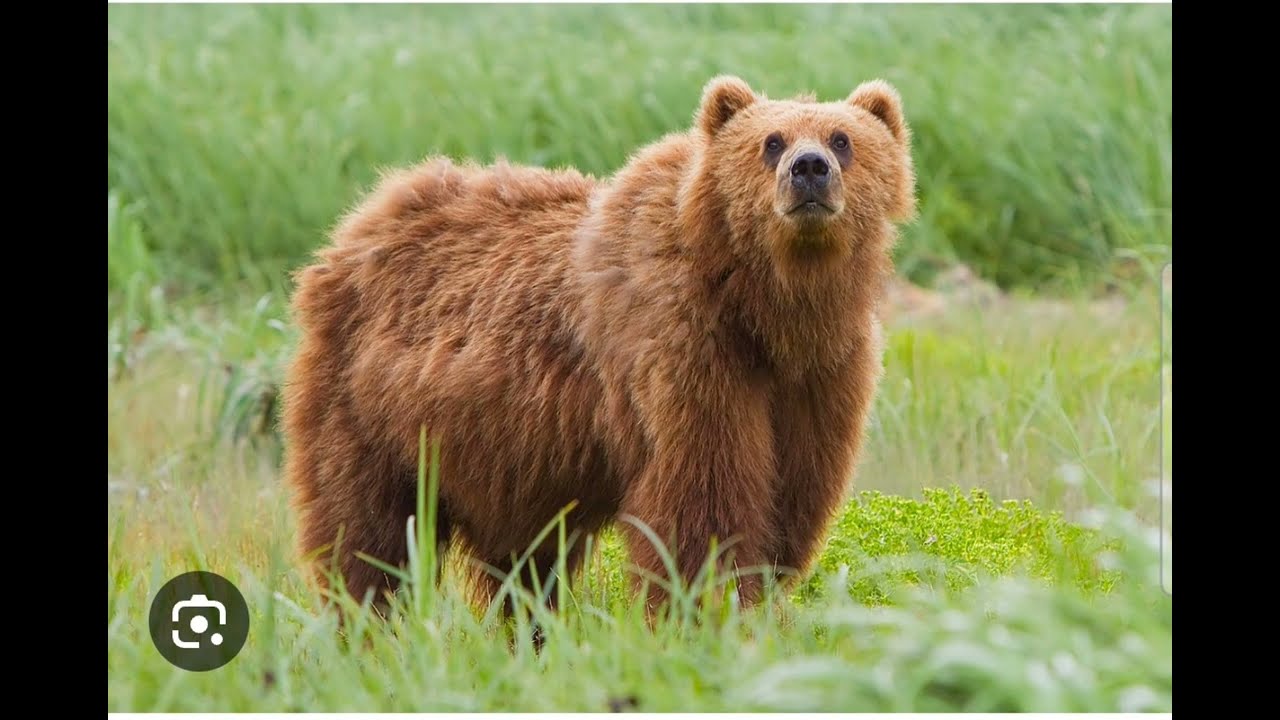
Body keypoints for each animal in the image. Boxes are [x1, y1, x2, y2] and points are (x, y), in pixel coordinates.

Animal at [281, 74, 916, 617]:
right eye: (771, 141)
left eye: (843, 139)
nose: (809, 169)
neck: (765, 309)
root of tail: (360, 221)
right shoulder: (685, 351)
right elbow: (702, 503)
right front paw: (703, 608)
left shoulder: (820, 377)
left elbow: (791, 498)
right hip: (370, 409)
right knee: (368, 533)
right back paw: (369, 624)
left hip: (508, 458)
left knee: (524, 563)